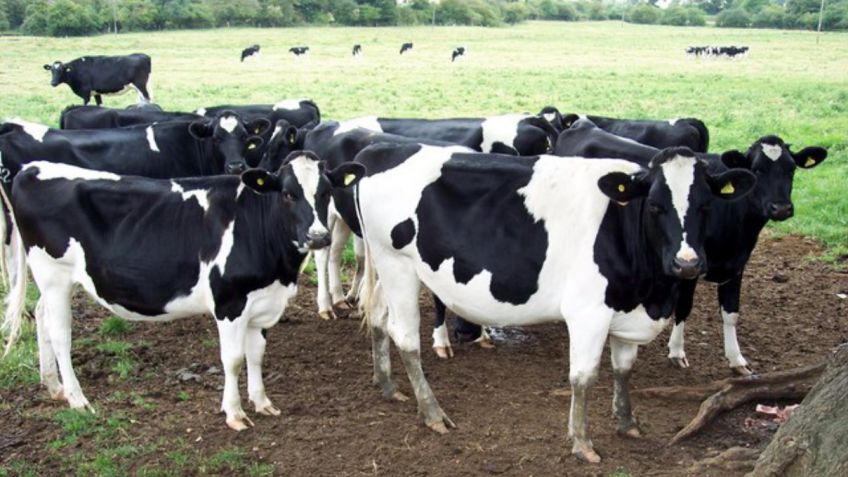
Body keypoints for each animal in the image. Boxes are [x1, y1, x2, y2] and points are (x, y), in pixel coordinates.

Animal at [1, 154, 365, 430]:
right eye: (288, 194)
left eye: (325, 192)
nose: (318, 237)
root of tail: (32, 167)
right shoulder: (229, 303)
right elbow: (233, 359)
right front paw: (235, 413)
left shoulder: (260, 302)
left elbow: (256, 354)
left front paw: (262, 402)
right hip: (54, 275)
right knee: (60, 334)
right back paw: (77, 398)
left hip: (53, 282)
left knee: (42, 318)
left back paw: (53, 386)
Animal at [353, 142, 755, 462]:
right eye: (655, 205)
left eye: (706, 206)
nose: (687, 263)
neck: (651, 293)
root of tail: (381, 149)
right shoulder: (588, 312)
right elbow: (583, 377)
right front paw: (582, 443)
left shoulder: (625, 308)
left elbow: (623, 369)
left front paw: (627, 422)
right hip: (397, 264)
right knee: (405, 337)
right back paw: (432, 412)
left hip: (388, 267)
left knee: (378, 316)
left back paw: (387, 385)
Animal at [554, 123, 828, 375]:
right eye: (758, 169)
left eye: (791, 169)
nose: (780, 208)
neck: (736, 224)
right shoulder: (686, 266)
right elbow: (684, 306)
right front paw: (676, 351)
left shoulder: (736, 265)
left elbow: (731, 312)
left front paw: (737, 359)